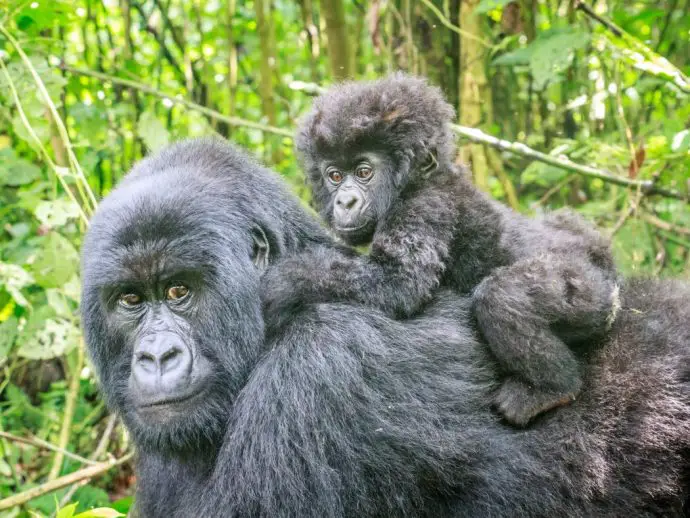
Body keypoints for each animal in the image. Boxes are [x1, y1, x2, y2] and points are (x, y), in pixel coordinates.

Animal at [264, 74, 620, 426]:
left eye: (364, 172)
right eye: (334, 176)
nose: (345, 201)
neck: (419, 181)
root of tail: (601, 258)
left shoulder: (424, 205)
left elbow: (398, 282)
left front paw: (284, 282)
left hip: (592, 290)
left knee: (502, 296)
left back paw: (551, 389)